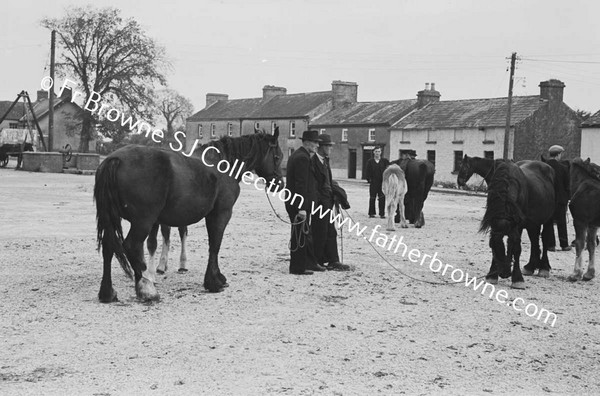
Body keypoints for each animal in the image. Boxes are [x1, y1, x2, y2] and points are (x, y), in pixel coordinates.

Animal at [94, 128, 284, 302]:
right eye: (277, 157)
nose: (280, 185)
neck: (223, 164)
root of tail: (115, 159)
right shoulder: (221, 213)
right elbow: (215, 245)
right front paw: (214, 282)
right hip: (143, 221)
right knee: (131, 246)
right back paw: (147, 290)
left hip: (113, 218)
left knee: (108, 247)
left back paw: (107, 293)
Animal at [478, 160, 556, 288]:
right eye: (493, 246)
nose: (504, 274)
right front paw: (492, 275)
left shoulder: (516, 227)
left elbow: (516, 248)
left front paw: (517, 279)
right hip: (532, 224)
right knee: (534, 241)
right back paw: (530, 267)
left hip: (548, 219)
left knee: (544, 240)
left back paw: (543, 268)